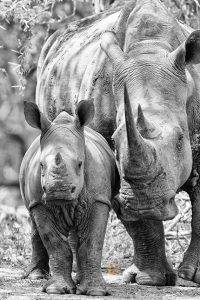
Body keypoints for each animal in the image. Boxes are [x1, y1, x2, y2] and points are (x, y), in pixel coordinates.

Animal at [19, 100, 118, 296]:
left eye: (80, 164)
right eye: (41, 165)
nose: (59, 191)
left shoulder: (99, 199)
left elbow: (92, 243)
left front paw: (95, 291)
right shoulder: (40, 204)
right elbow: (55, 244)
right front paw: (57, 290)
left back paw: (79, 280)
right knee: (34, 223)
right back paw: (36, 276)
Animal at [36, 0, 200, 286]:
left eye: (181, 139)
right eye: (114, 142)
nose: (146, 204)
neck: (151, 47)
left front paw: (189, 276)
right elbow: (139, 222)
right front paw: (150, 280)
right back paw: (40, 275)